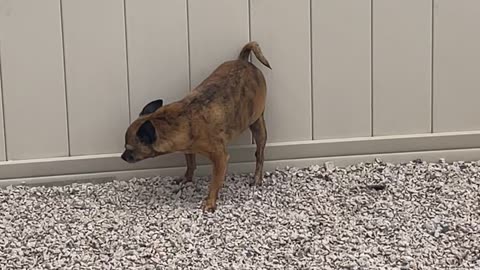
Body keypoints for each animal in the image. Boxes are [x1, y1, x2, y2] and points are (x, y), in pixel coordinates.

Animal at [120, 41, 270, 212]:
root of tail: (244, 61)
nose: (122, 156)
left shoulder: (220, 158)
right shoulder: (188, 149)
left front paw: (210, 202)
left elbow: (215, 182)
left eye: (129, 149)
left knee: (259, 155)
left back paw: (257, 178)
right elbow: (191, 164)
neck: (175, 119)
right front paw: (187, 178)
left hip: (258, 126)